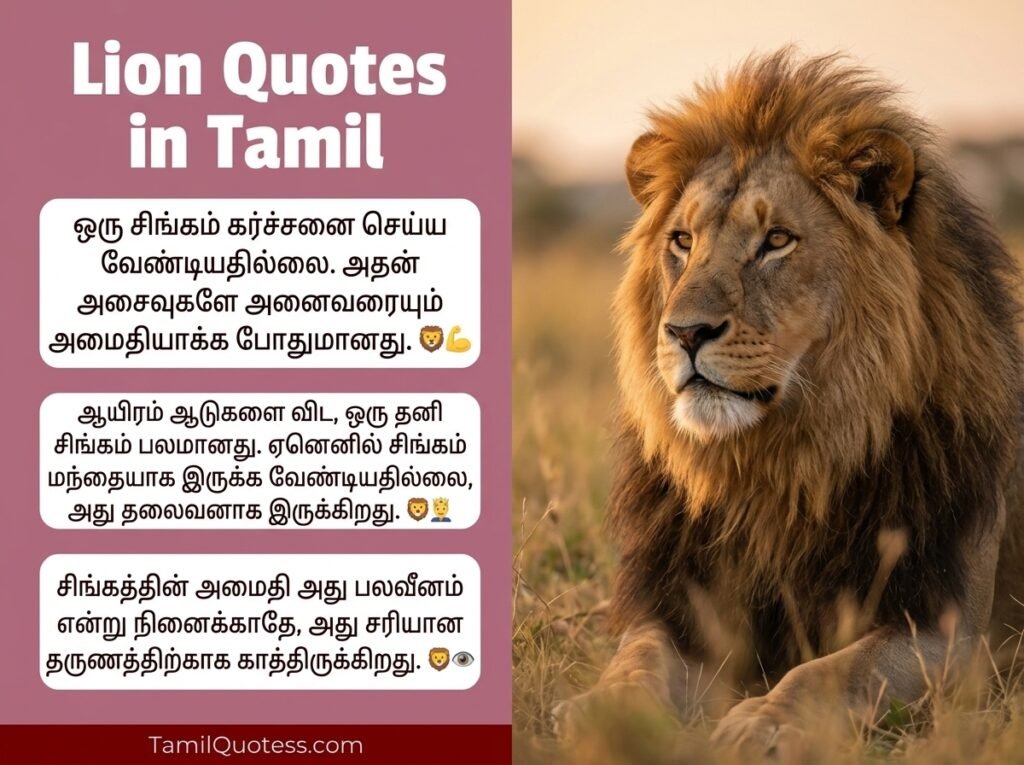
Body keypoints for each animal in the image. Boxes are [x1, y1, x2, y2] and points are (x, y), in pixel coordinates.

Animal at [554, 50, 1024, 757]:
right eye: (682, 241)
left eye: (776, 241)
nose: (684, 332)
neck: (780, 463)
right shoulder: (683, 612)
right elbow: (639, 660)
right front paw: (596, 714)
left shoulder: (951, 632)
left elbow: (831, 672)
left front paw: (764, 724)